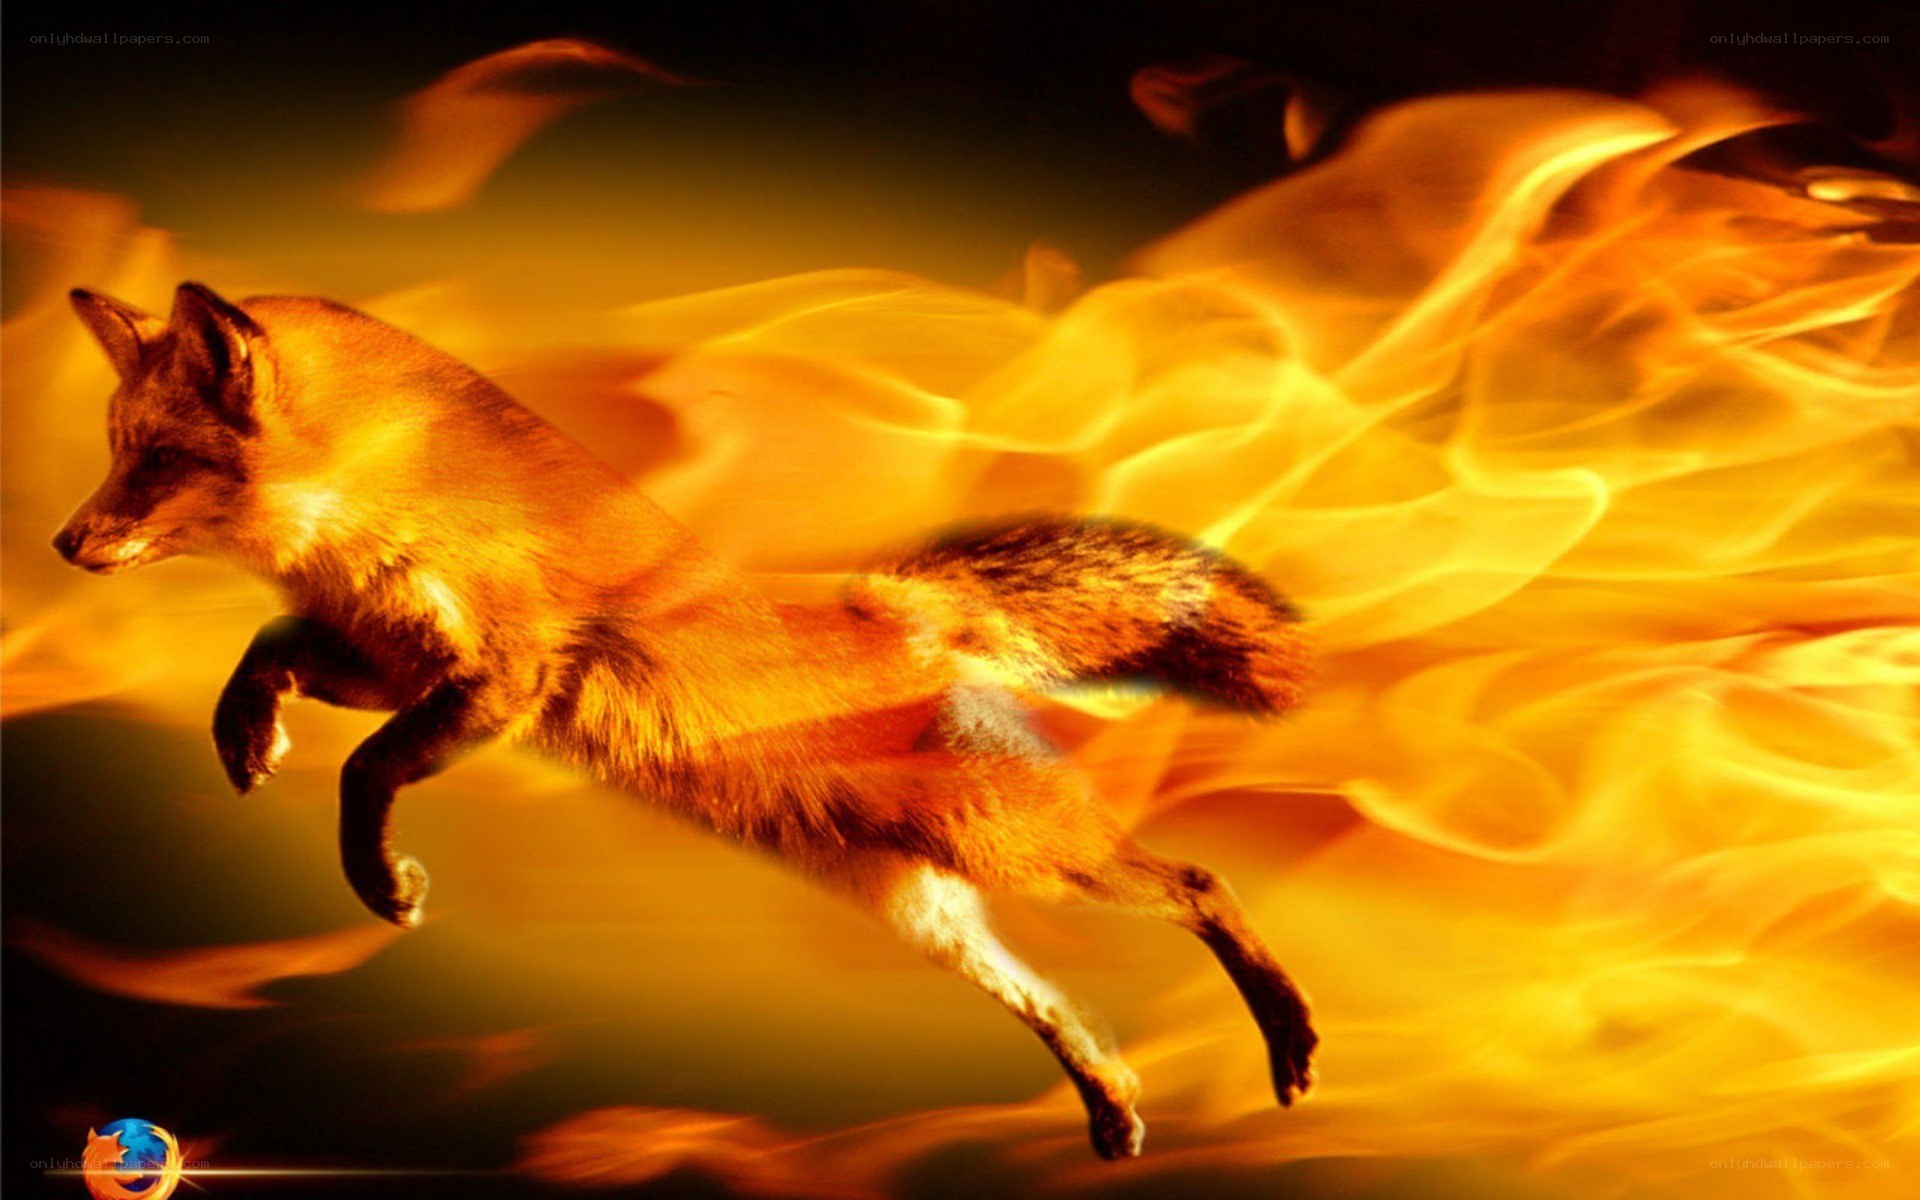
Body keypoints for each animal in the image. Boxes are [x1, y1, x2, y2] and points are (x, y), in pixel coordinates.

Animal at [52, 281, 1317, 1159]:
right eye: (116, 449)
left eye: (157, 457)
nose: (64, 544)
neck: (387, 500)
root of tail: (900, 606)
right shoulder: (384, 654)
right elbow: (268, 654)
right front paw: (243, 736)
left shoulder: (504, 675)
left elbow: (367, 770)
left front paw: (380, 881)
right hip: (926, 910)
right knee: (1061, 1009)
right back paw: (1112, 1110)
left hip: (1017, 847)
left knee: (1200, 883)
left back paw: (1291, 1039)